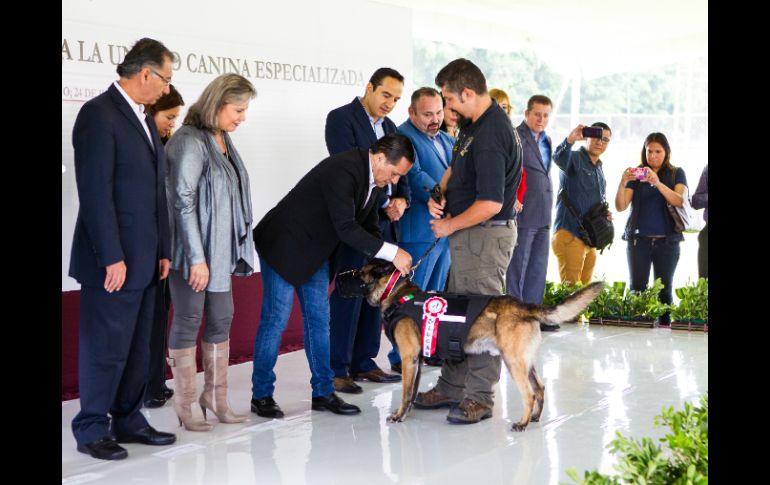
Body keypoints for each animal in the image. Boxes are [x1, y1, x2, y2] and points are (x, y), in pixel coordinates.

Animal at [344, 260, 604, 432]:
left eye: (358, 273)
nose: (340, 276)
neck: (397, 293)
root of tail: (525, 306)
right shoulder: (416, 360)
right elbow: (411, 392)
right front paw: (406, 413)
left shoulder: (409, 358)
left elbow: (405, 393)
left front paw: (399, 416)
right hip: (525, 362)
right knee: (540, 387)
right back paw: (536, 418)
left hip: (513, 362)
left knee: (529, 394)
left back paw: (522, 423)